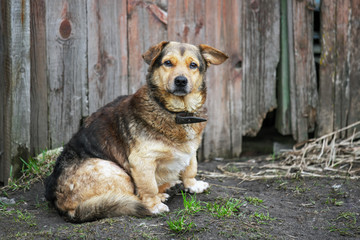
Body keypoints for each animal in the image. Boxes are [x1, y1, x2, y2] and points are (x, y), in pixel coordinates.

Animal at [45, 40, 228, 221]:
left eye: (193, 65)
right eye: (168, 63)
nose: (181, 81)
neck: (176, 113)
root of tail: (62, 205)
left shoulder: (190, 151)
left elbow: (191, 169)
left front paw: (193, 185)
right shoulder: (142, 161)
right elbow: (148, 188)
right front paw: (153, 205)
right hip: (113, 170)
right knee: (130, 197)